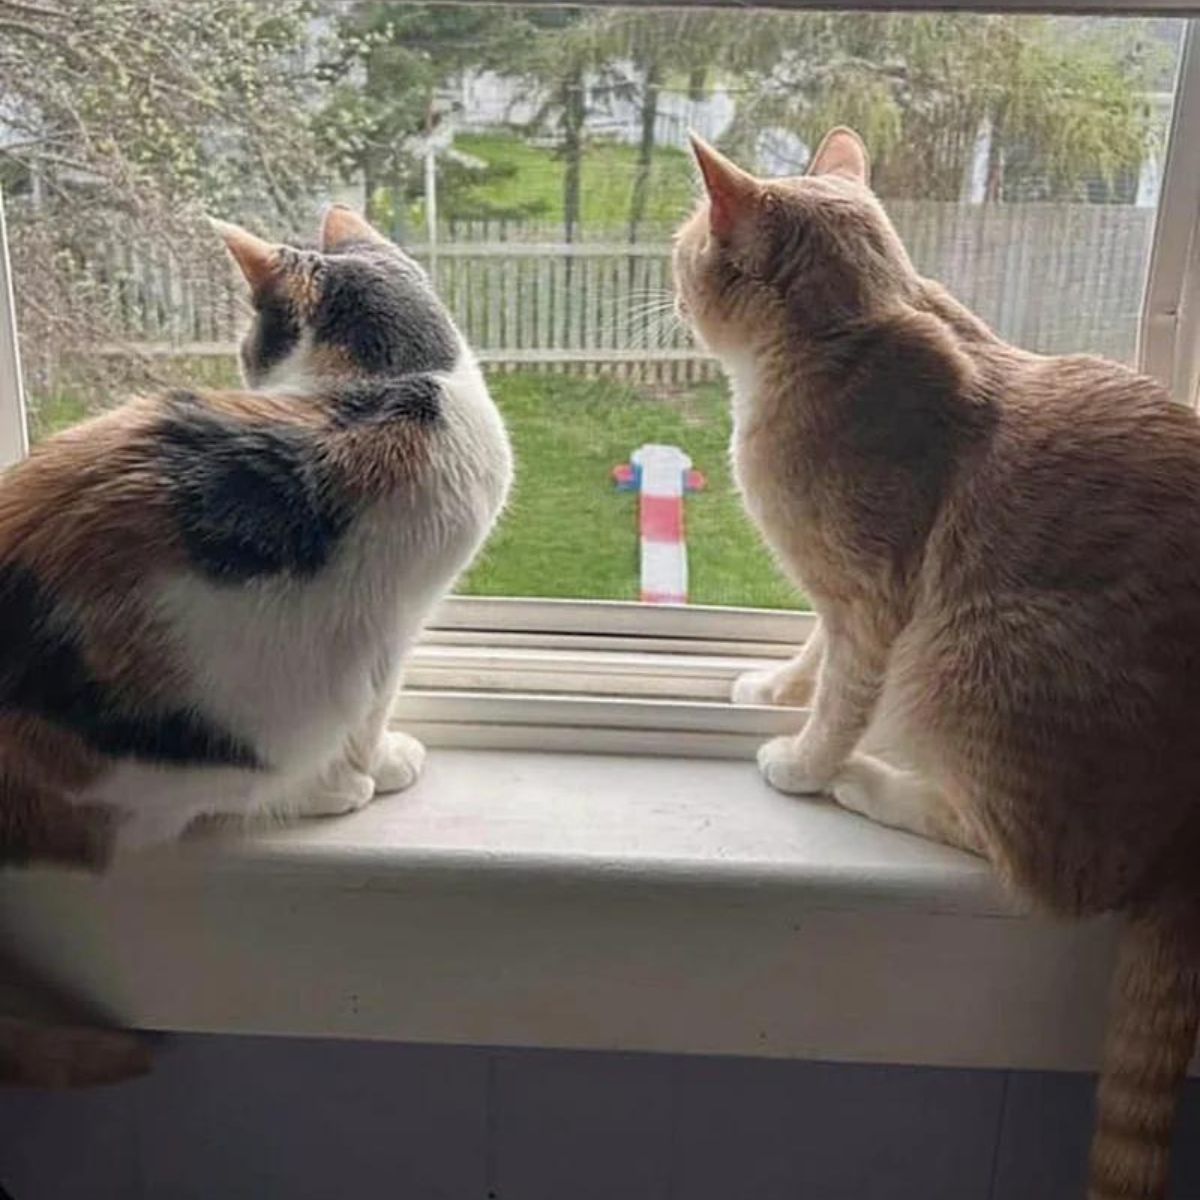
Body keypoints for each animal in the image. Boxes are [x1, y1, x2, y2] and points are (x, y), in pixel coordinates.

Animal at [676, 126, 1200, 1195]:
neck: (852, 333)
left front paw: (806, 763)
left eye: (682, 248)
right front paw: (773, 685)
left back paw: (870, 783)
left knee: (1045, 871)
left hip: (966, 651)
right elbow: (812, 649)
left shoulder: (878, 602)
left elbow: (841, 695)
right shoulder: (839, 593)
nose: (667, 288)